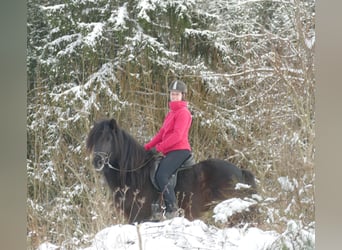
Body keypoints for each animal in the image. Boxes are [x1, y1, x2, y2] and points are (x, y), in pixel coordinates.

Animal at [86, 118, 256, 223]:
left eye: (108, 139)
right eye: (94, 140)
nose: (97, 161)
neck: (135, 174)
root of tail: (240, 172)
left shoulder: (139, 217)